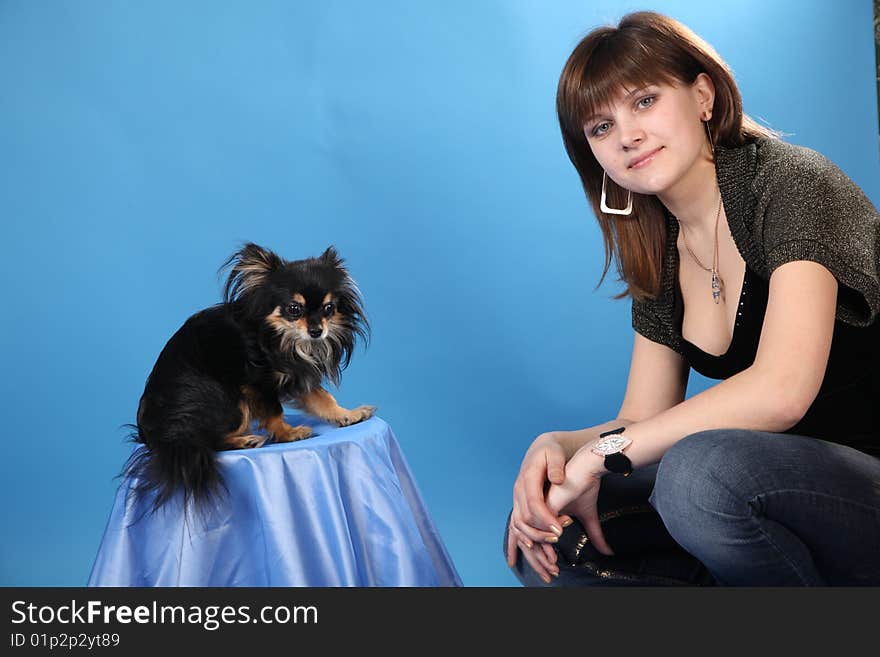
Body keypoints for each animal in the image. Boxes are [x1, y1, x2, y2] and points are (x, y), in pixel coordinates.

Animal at [123, 243, 374, 510]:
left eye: (329, 308)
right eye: (294, 309)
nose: (317, 330)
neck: (282, 338)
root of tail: (156, 435)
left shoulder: (298, 374)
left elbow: (323, 398)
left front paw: (347, 415)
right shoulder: (257, 383)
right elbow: (274, 411)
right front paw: (287, 433)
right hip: (228, 398)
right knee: (207, 440)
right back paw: (245, 441)